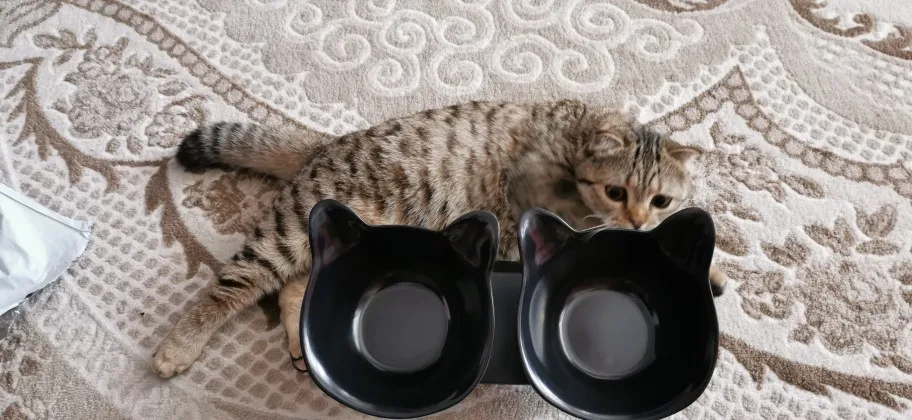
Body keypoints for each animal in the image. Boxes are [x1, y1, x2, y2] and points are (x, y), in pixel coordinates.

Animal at [151, 99, 729, 378]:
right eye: (616, 191)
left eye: (661, 200)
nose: (638, 219)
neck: (580, 129)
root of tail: (326, 145)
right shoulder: (541, 193)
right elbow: (585, 227)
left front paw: (709, 266)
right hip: (286, 234)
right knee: (232, 287)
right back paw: (178, 346)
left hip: (334, 240)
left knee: (298, 285)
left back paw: (299, 340)